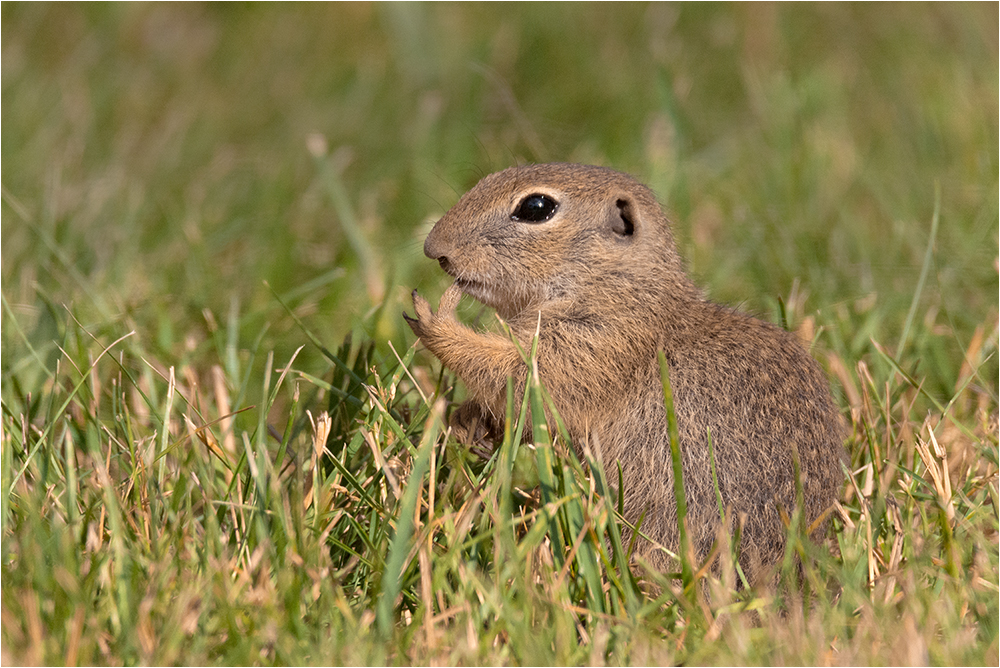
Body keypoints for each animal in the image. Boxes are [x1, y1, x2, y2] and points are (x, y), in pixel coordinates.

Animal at [402, 162, 848, 580]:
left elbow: (525, 379)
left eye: (535, 208)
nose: (433, 247)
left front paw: (439, 323)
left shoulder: (597, 346)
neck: (620, 285)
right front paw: (468, 423)